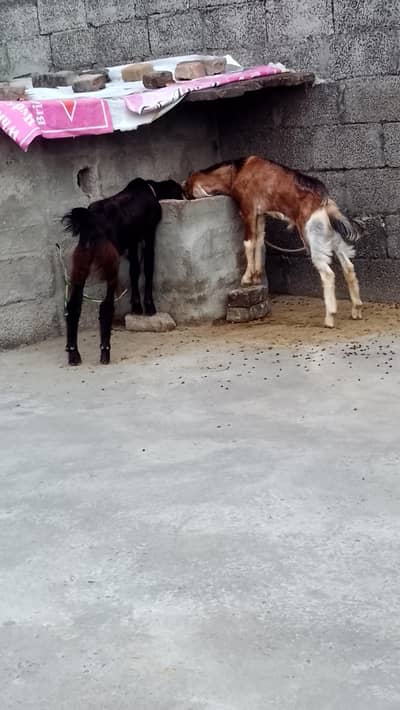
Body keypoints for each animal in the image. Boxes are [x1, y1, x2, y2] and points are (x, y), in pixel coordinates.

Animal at [62, 178, 183, 365]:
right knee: (105, 306)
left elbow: (134, 270)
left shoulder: (132, 242)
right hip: (111, 264)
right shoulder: (148, 234)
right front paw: (149, 306)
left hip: (81, 264)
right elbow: (148, 268)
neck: (150, 189)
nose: (185, 197)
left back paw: (74, 354)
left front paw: (136, 306)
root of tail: (89, 222)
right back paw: (105, 352)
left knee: (73, 307)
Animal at [183, 156, 363, 328]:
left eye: (187, 191)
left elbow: (248, 242)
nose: (185, 197)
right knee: (348, 266)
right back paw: (356, 309)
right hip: (330, 235)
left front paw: (246, 278)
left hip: (311, 235)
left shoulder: (248, 210)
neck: (236, 171)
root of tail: (323, 202)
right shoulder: (260, 215)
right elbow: (259, 241)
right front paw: (256, 276)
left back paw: (330, 318)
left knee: (328, 273)